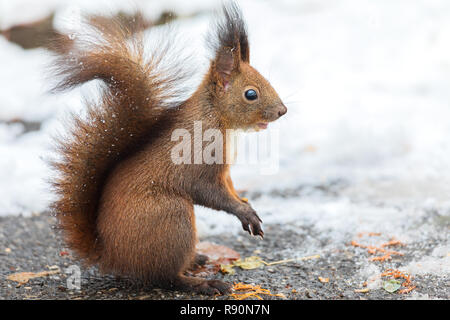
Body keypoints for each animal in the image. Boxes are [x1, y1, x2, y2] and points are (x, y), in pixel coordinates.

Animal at [50, 2, 288, 296]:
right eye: (251, 94)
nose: (282, 111)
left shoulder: (225, 172)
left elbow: (231, 188)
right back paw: (204, 283)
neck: (217, 118)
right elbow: (210, 192)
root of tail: (111, 256)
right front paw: (244, 212)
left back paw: (197, 259)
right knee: (166, 277)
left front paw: (246, 206)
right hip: (173, 219)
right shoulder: (199, 159)